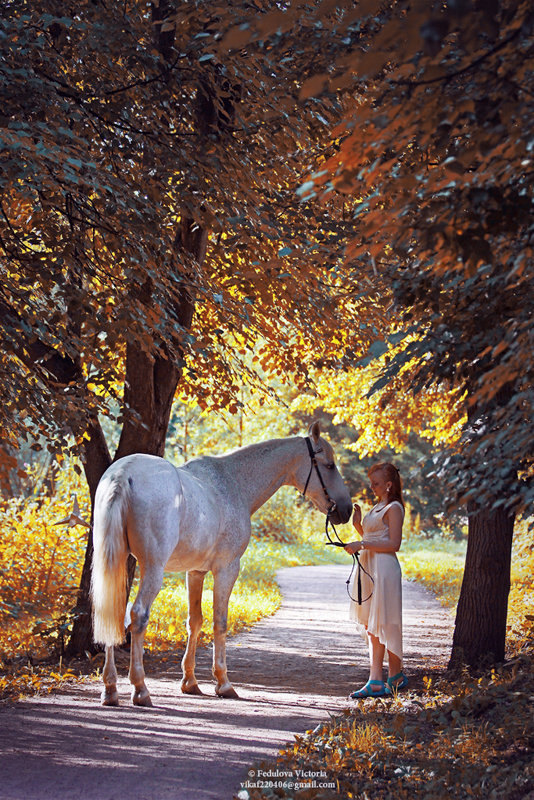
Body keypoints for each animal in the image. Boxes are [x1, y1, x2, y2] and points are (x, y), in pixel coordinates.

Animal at [90, 422, 354, 704]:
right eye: (329, 465)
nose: (346, 510)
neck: (232, 483)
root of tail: (122, 475)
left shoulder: (195, 572)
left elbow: (195, 621)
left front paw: (190, 681)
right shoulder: (227, 569)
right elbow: (220, 621)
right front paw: (223, 682)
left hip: (118, 560)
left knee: (111, 611)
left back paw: (110, 688)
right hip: (152, 567)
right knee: (138, 615)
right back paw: (140, 688)